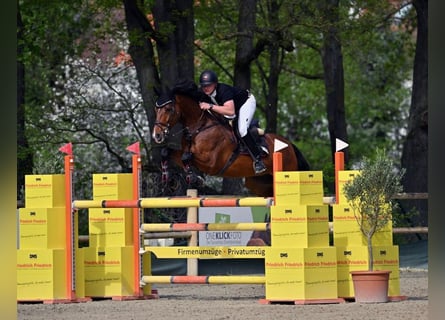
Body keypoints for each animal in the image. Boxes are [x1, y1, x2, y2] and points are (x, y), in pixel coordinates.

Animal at [152, 79, 308, 196]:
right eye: (156, 109)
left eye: (168, 109)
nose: (157, 135)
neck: (199, 127)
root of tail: (289, 145)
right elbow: (168, 152)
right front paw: (166, 176)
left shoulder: (211, 163)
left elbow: (186, 157)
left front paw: (195, 178)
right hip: (259, 183)